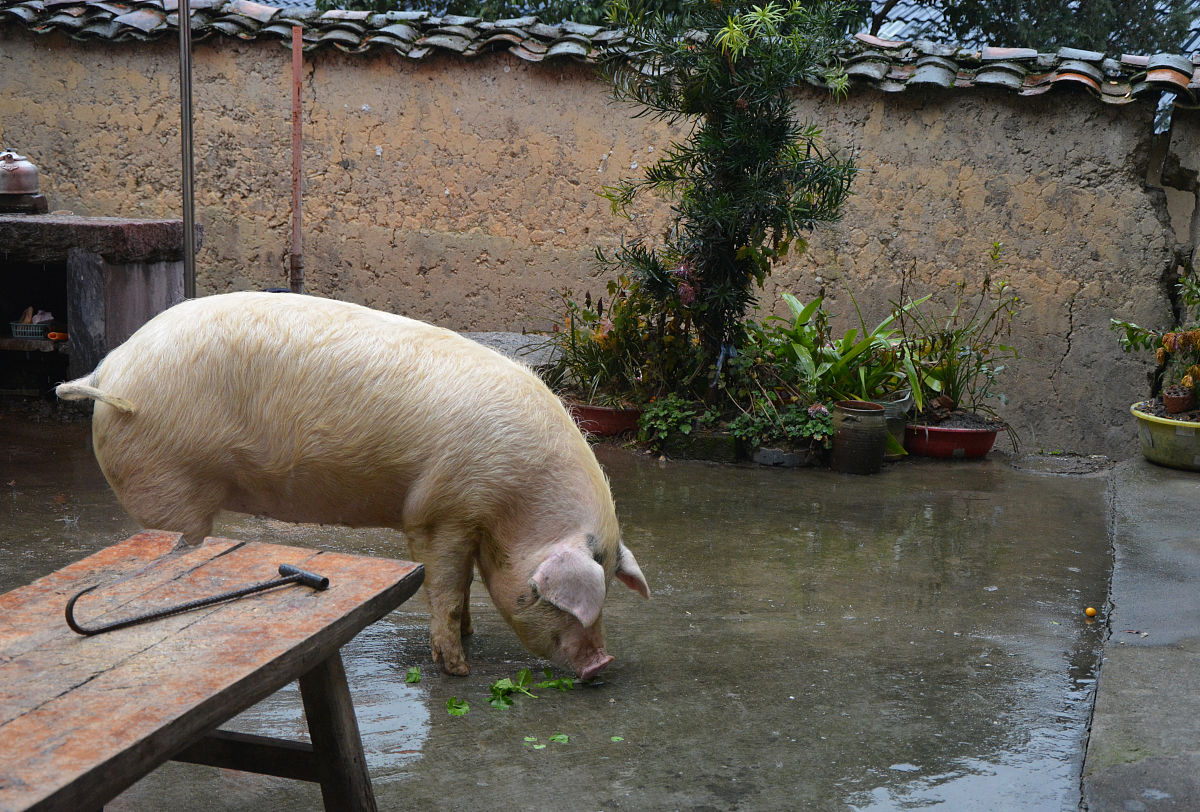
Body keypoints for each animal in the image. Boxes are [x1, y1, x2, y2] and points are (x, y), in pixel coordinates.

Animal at [58, 291, 648, 676]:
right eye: (553, 597)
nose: (602, 663)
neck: (515, 508)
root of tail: (107, 372)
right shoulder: (443, 512)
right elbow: (446, 589)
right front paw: (457, 670)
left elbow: (462, 588)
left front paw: (469, 640)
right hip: (167, 487)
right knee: (172, 543)